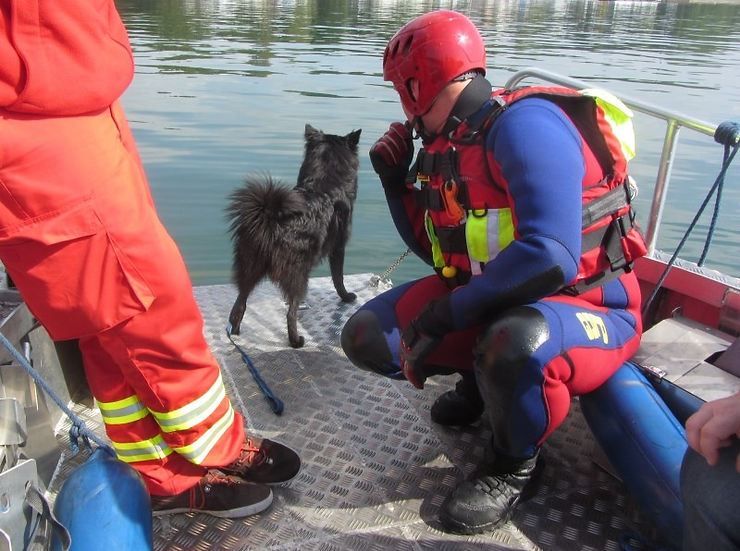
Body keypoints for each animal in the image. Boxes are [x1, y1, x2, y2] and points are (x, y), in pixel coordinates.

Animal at [227, 125, 362, 350]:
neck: (325, 183)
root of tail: (271, 218)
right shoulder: (338, 247)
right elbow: (338, 277)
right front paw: (346, 296)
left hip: (249, 267)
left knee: (239, 305)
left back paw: (236, 334)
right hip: (299, 275)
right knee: (291, 312)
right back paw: (296, 341)